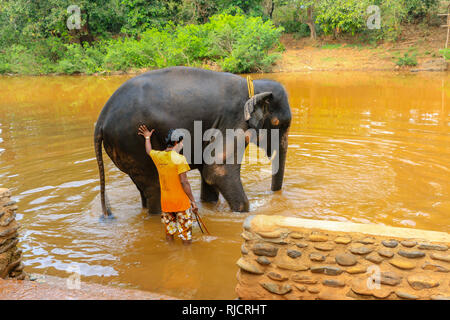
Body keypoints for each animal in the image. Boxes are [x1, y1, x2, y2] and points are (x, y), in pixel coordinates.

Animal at [94, 66, 292, 216]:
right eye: (278, 124)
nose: (274, 195)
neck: (255, 85)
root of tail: (101, 119)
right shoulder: (233, 120)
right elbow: (218, 170)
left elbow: (208, 173)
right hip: (131, 141)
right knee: (155, 187)